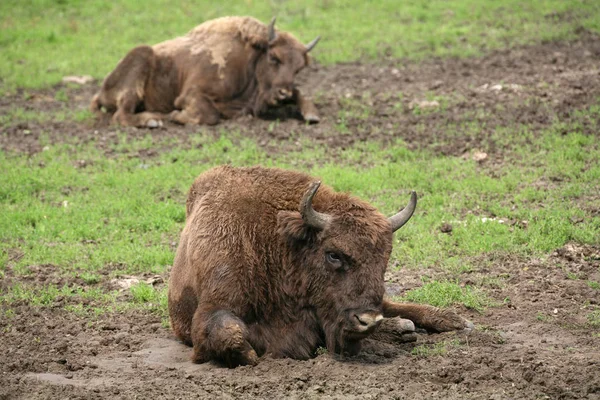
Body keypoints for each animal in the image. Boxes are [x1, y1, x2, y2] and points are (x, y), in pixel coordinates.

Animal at [89, 16, 322, 126]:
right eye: (274, 57)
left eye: (299, 68)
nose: (283, 92)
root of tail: (101, 91)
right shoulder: (190, 94)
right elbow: (210, 114)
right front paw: (177, 115)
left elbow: (301, 93)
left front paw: (312, 114)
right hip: (141, 57)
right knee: (121, 115)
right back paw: (153, 121)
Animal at [169, 166, 474, 368]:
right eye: (333, 255)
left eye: (385, 258)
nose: (367, 320)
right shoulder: (213, 307)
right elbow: (229, 333)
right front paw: (250, 355)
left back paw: (452, 321)